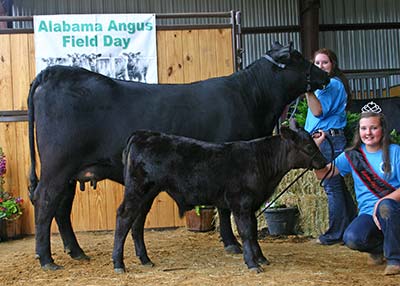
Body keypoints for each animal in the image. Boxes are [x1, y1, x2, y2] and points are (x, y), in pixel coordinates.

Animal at [113, 127, 328, 272]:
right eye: (309, 146)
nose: (325, 161)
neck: (261, 162)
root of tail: (142, 134)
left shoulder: (251, 205)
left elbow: (253, 231)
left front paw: (261, 258)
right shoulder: (241, 202)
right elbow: (246, 232)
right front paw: (252, 263)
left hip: (148, 193)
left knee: (137, 222)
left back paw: (145, 259)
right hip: (137, 189)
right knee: (124, 217)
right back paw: (119, 263)